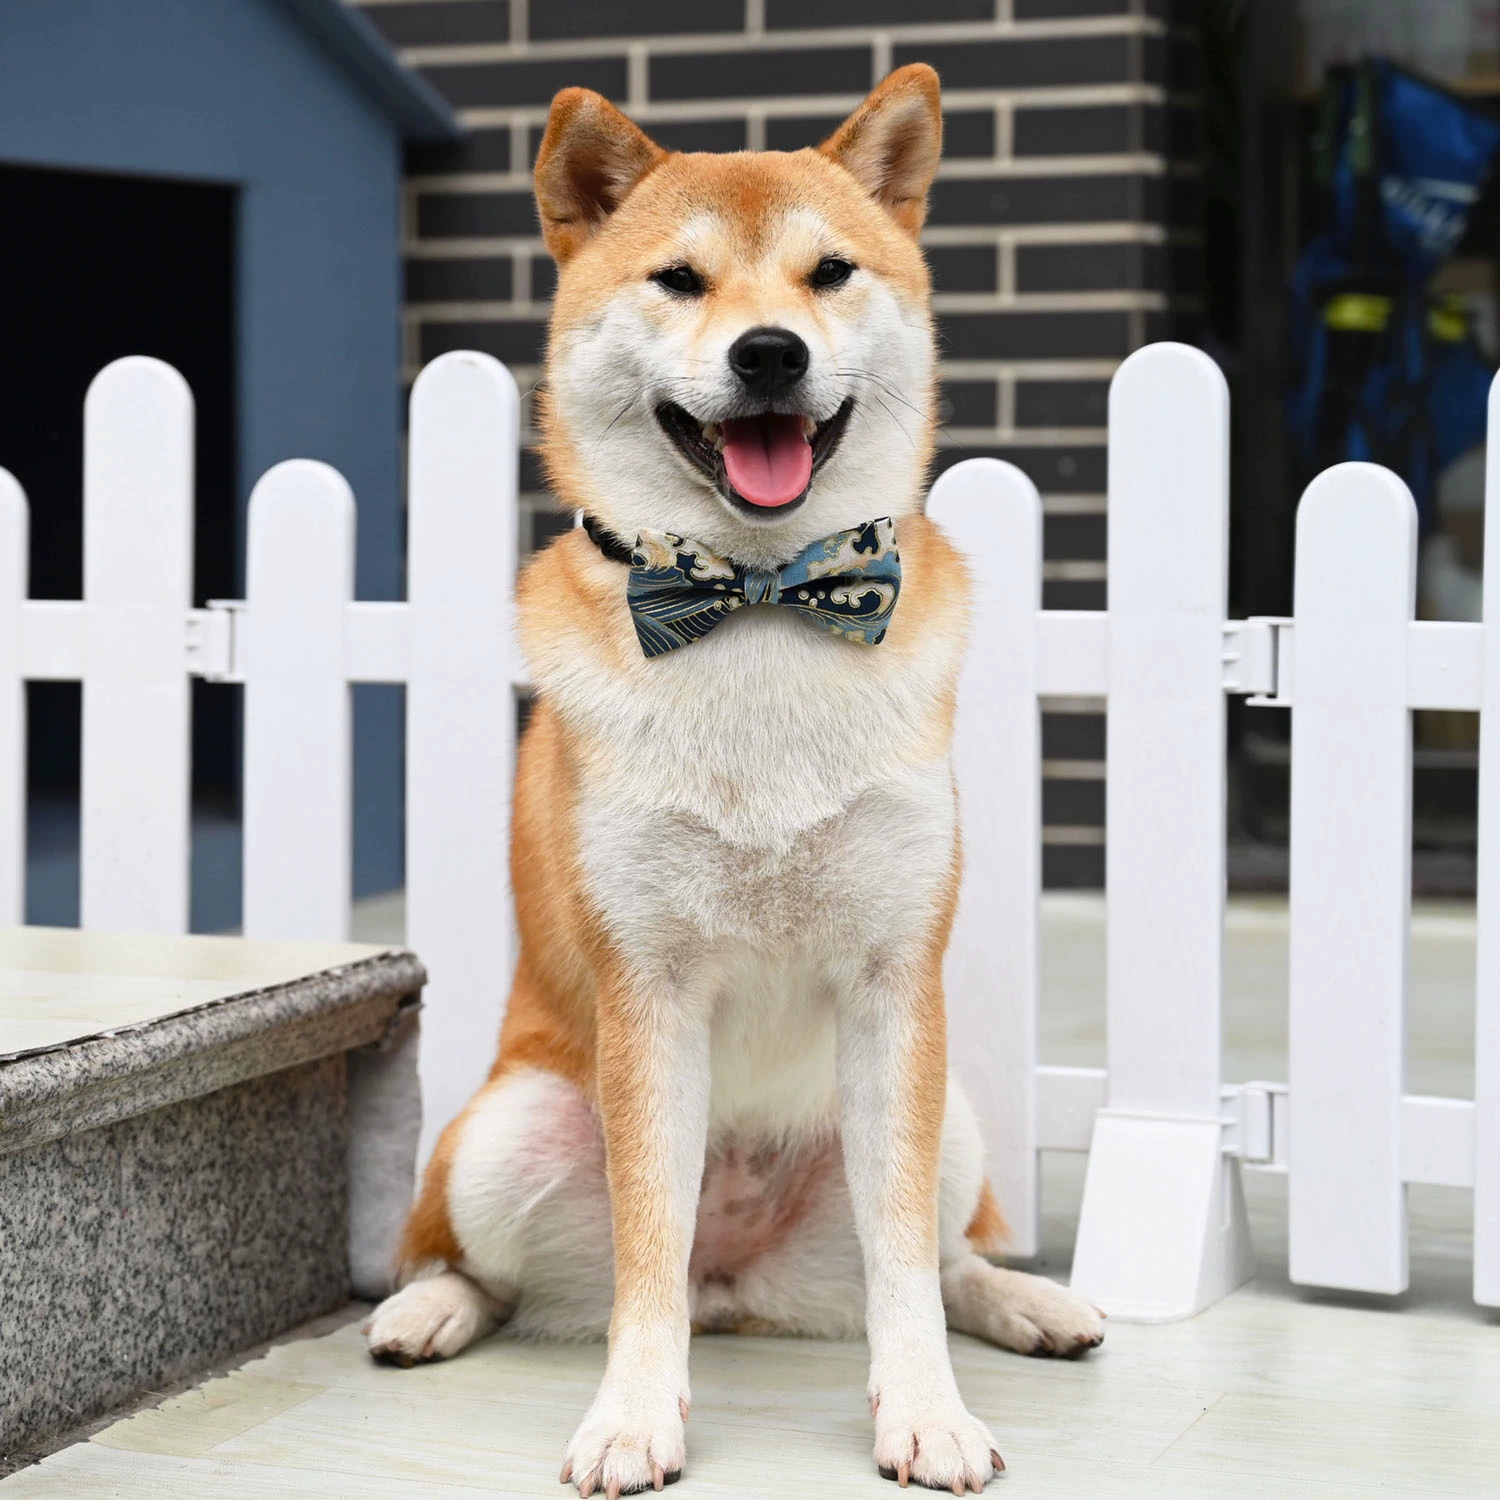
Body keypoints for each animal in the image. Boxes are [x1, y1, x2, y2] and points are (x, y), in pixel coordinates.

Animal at [366, 67, 1104, 1488]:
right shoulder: (649, 994)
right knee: (495, 1269)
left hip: (949, 1122)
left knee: (943, 1255)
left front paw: (926, 1411)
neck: (759, 603)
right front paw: (631, 1417)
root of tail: (741, 1283)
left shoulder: (893, 986)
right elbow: (646, 1257)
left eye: (829, 273)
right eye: (679, 279)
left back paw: (1029, 1302)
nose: (771, 352)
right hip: (503, 1132)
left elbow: (905, 1275)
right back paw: (429, 1310)